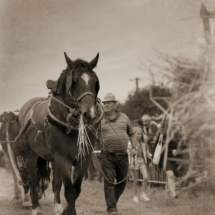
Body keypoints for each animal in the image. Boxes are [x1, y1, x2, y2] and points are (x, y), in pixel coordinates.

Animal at [12, 52, 103, 215]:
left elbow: (75, 190)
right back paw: (35, 207)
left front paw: (64, 209)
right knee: (32, 180)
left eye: (95, 82)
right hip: (30, 155)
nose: (90, 114)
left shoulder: (84, 158)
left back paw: (57, 207)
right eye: (74, 82)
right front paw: (69, 211)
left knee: (55, 184)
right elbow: (70, 192)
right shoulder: (62, 159)